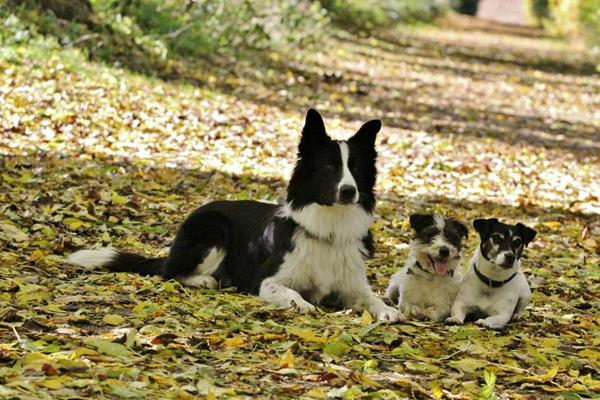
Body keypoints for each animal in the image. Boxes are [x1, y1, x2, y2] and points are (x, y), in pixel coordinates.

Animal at [68, 108, 400, 322]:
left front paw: (387, 309)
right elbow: (290, 293)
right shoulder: (265, 281)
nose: (349, 191)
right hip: (214, 230)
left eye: (354, 168)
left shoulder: (353, 285)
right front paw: (301, 303)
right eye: (329, 167)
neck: (330, 226)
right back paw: (204, 280)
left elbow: (371, 297)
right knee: (170, 272)